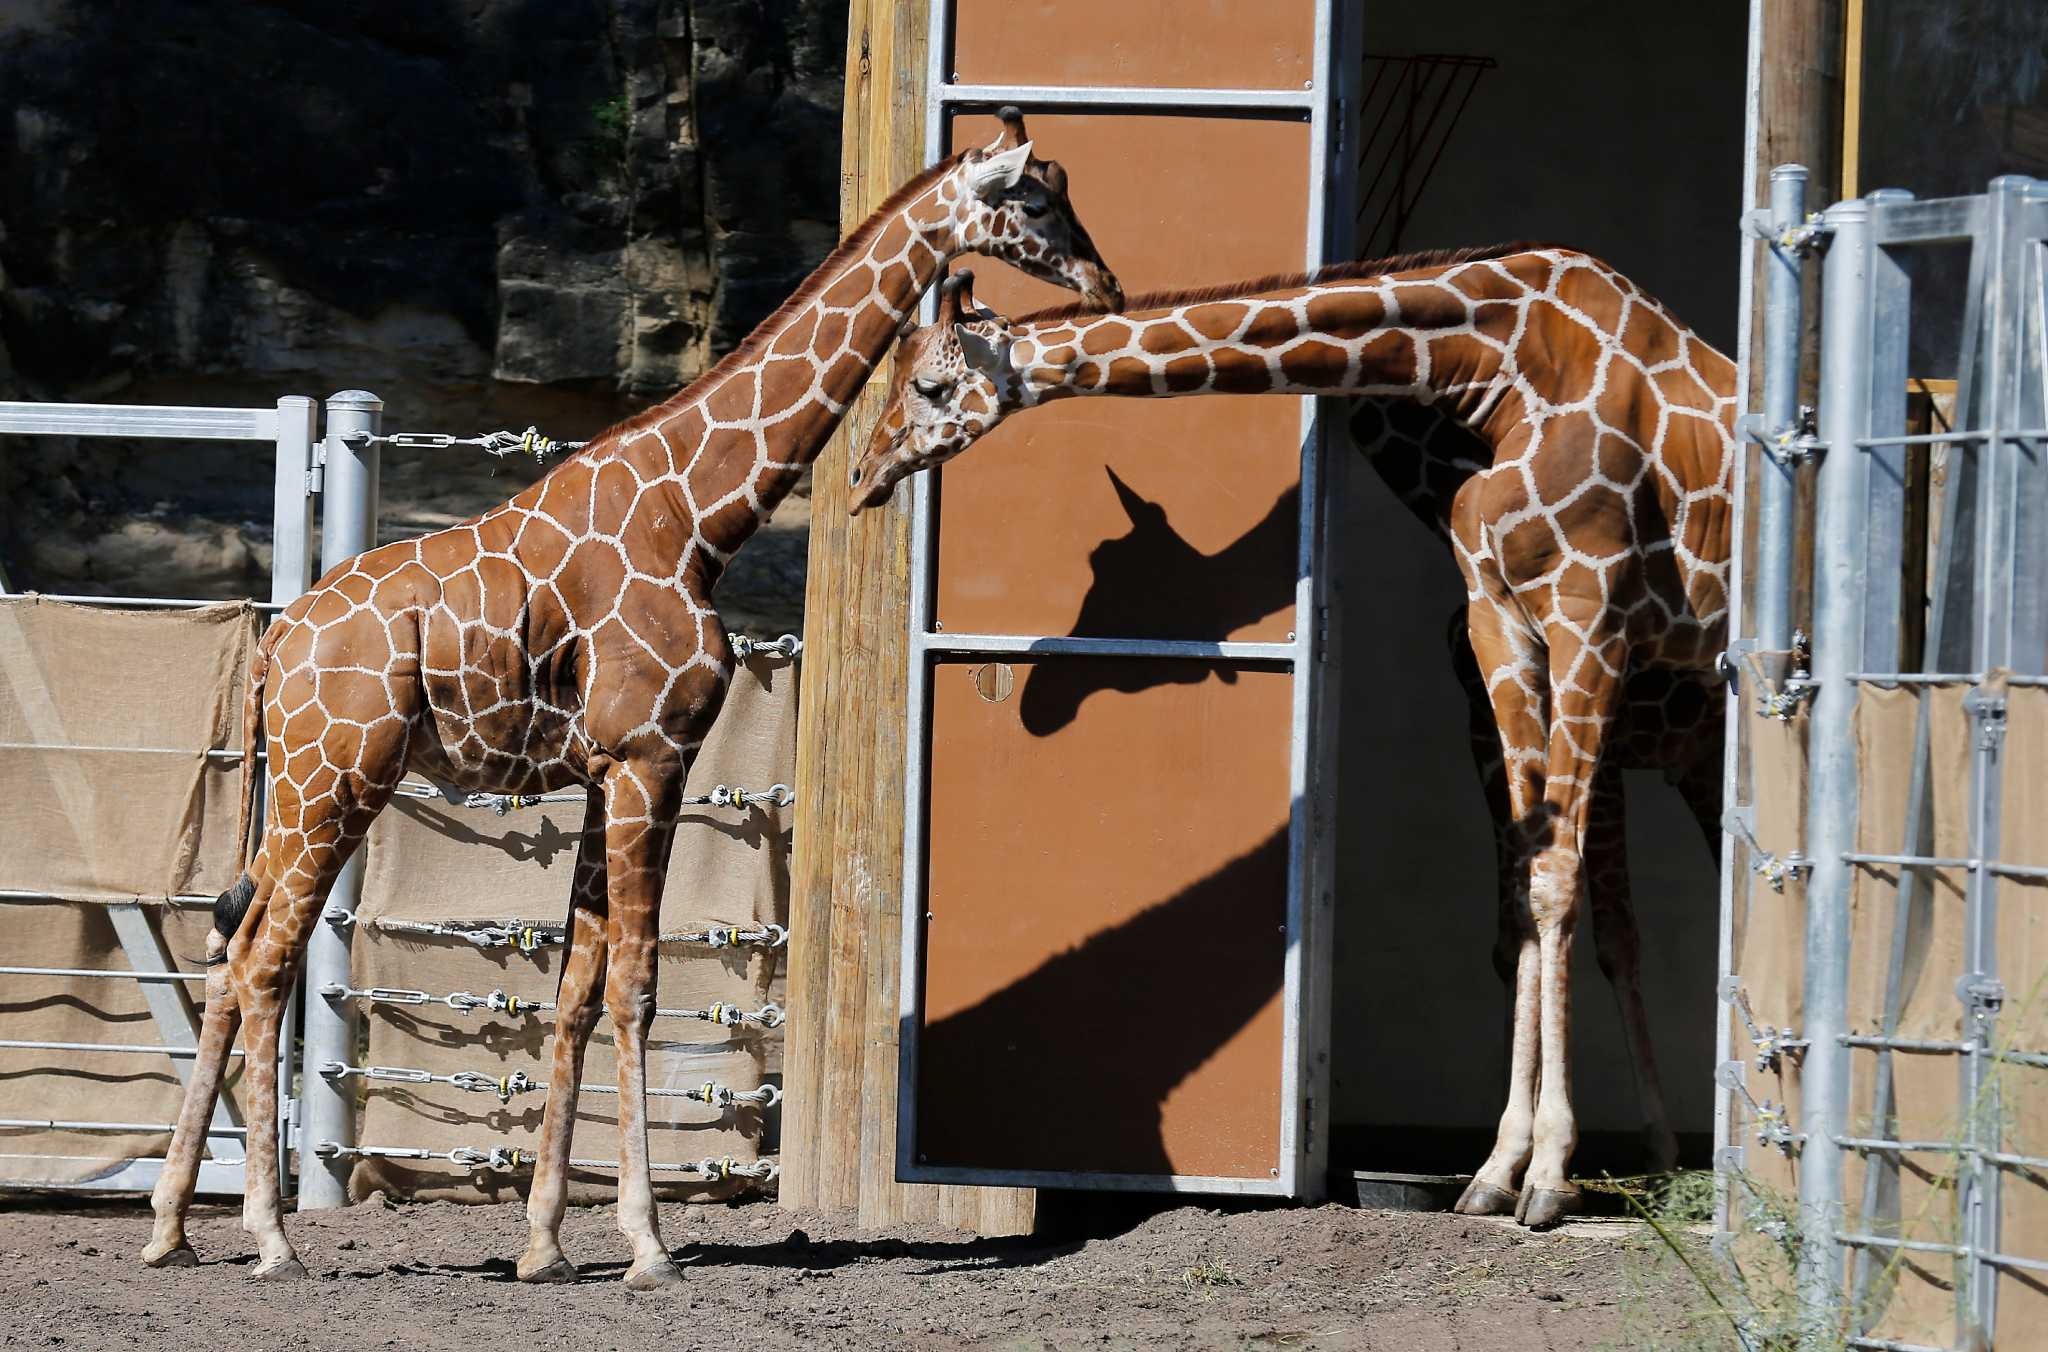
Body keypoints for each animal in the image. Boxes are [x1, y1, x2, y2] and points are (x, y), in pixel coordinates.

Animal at [138, 109, 1120, 1286]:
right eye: (1036, 200)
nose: (1106, 282)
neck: (698, 514)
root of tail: (276, 642)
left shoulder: (606, 767)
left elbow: (571, 990)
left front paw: (545, 1244)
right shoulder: (656, 755)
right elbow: (638, 986)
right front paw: (649, 1243)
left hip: (299, 782)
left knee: (230, 944)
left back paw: (172, 1227)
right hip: (337, 775)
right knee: (264, 957)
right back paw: (269, 1235)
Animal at [848, 248, 1737, 1227]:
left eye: (930, 385)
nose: (861, 475)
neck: (1494, 363)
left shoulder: (1591, 615)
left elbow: (1558, 883)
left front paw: (1548, 1175)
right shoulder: (1501, 623)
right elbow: (1526, 891)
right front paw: (1498, 1169)